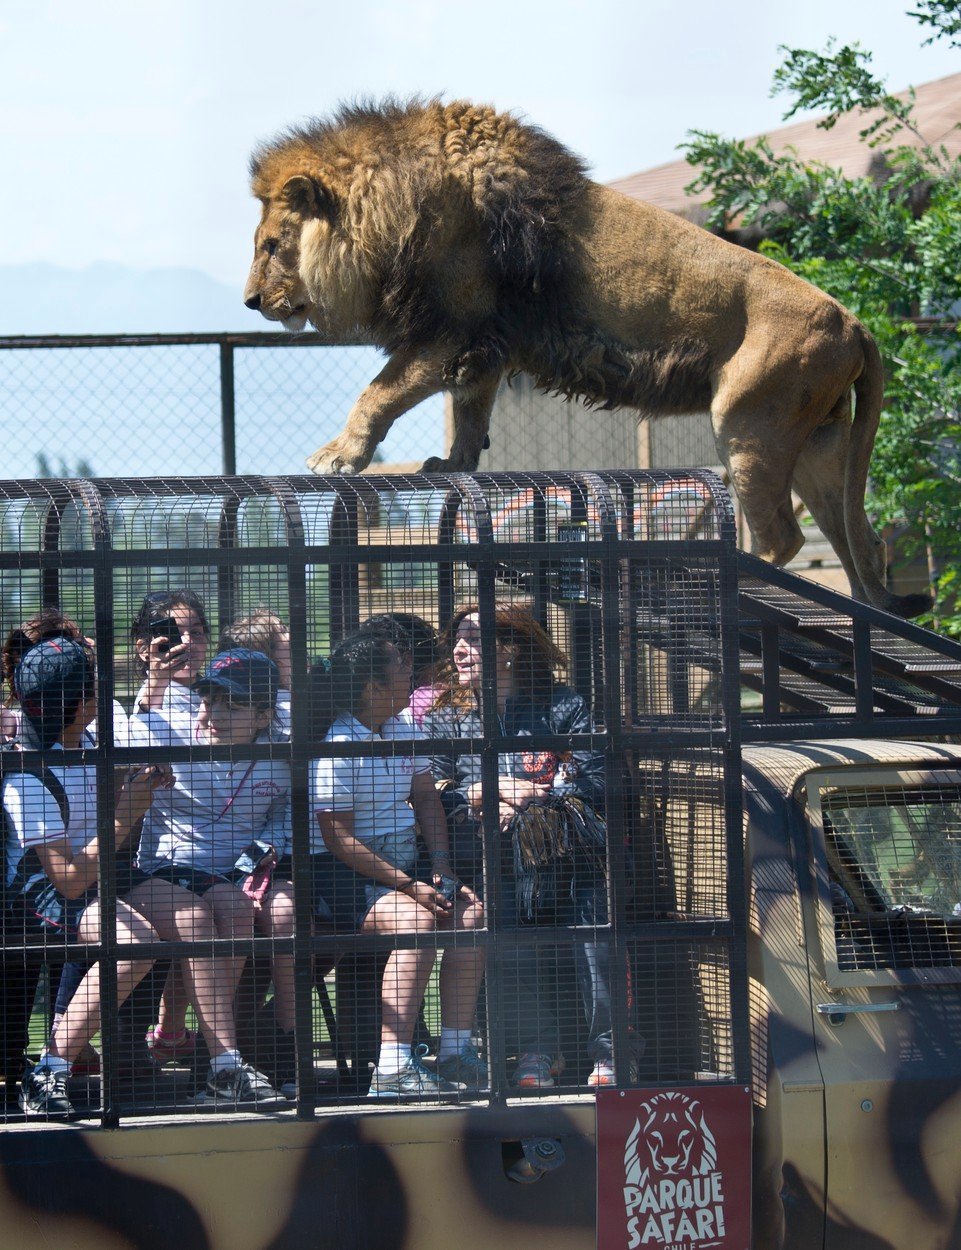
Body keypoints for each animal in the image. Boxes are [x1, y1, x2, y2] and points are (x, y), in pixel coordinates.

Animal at [242, 96, 929, 615]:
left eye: (272, 245)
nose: (250, 301)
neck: (394, 206)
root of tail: (854, 320)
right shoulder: (486, 344)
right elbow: (470, 411)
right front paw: (453, 463)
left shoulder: (451, 328)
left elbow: (379, 392)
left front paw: (339, 456)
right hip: (818, 445)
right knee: (861, 541)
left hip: (748, 421)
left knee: (781, 536)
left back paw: (733, 580)